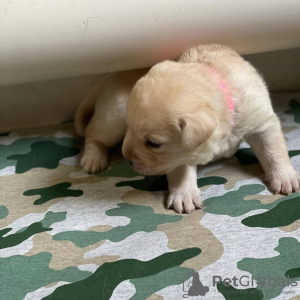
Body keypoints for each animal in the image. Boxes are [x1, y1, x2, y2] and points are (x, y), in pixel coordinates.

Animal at [122, 44, 300, 213]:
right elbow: (181, 167)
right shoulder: (181, 154)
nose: (127, 160)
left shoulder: (261, 121)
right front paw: (184, 194)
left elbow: (273, 150)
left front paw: (284, 177)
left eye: (153, 144)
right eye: (128, 127)